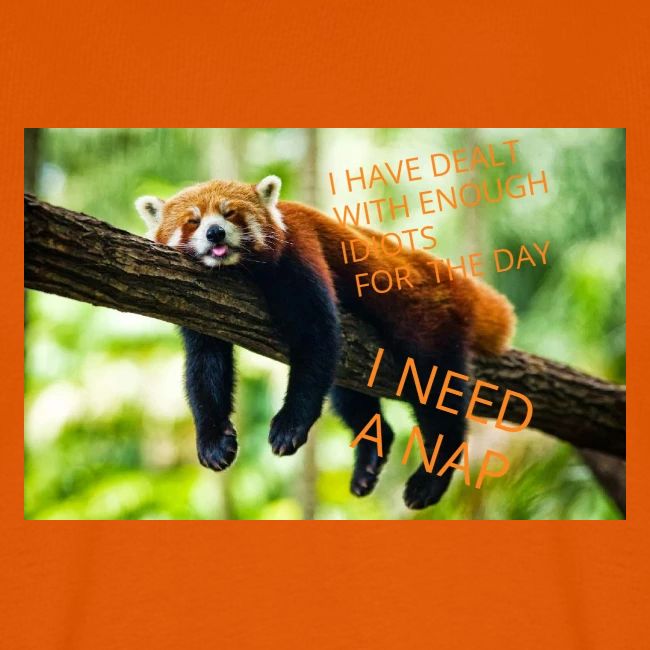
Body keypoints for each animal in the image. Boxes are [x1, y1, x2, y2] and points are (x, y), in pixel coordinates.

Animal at [136, 175, 515, 509]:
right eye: (193, 221)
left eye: (230, 214)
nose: (215, 232)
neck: (238, 270)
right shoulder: (200, 303)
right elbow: (205, 366)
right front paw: (213, 440)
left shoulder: (300, 252)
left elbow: (316, 337)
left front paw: (290, 425)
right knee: (348, 394)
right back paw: (370, 458)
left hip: (428, 322)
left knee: (436, 391)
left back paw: (431, 477)